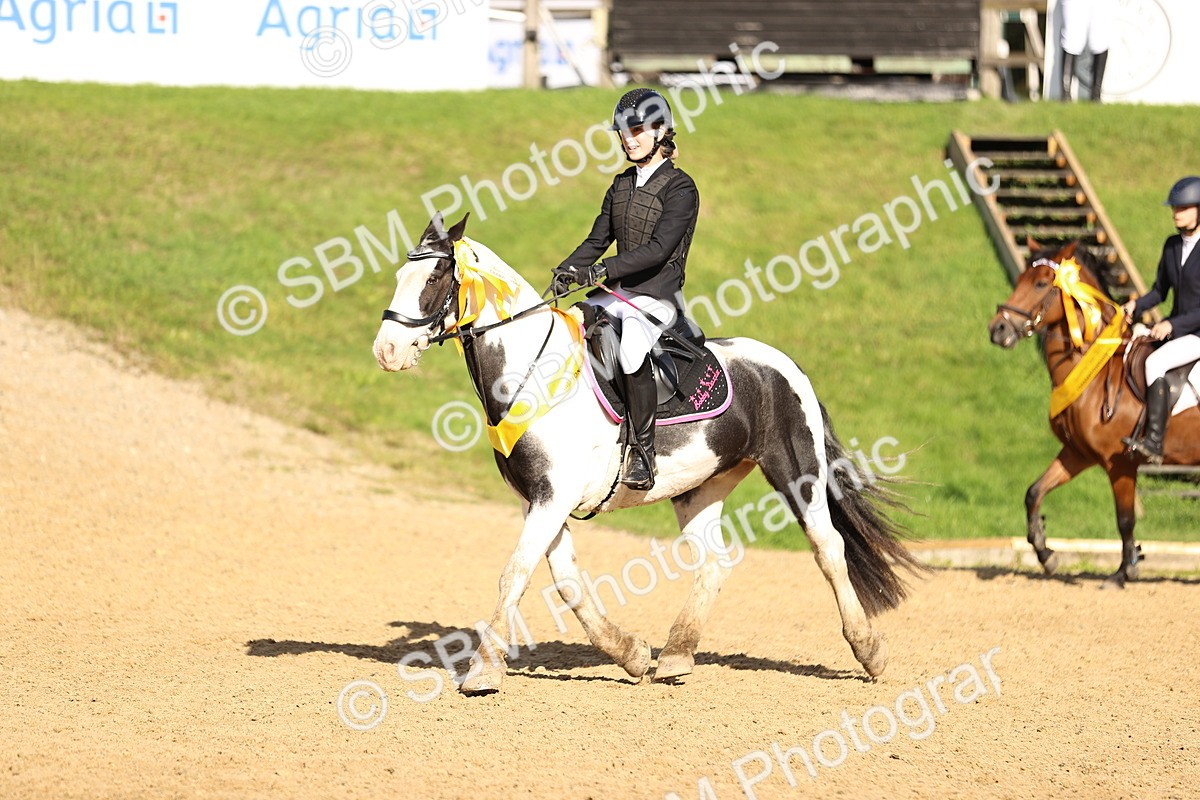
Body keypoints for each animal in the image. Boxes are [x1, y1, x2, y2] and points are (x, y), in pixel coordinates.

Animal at [373, 213, 924, 694]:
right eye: (400, 274)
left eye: (435, 275)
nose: (386, 351)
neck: (532, 372)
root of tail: (782, 363)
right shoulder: (540, 500)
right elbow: (567, 582)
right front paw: (633, 655)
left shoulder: (552, 498)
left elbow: (516, 573)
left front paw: (484, 671)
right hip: (700, 489)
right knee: (714, 564)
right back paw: (676, 657)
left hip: (797, 473)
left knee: (828, 549)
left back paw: (870, 651)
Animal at [988, 240, 1200, 588]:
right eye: (1020, 279)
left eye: (1041, 283)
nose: (998, 329)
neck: (1095, 374)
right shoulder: (1077, 453)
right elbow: (1034, 493)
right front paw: (1046, 555)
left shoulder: (1121, 465)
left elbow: (1125, 520)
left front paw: (1124, 572)